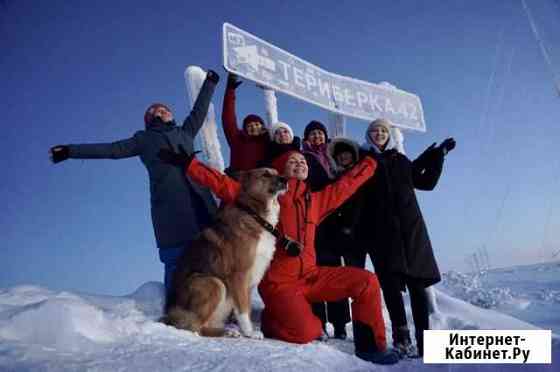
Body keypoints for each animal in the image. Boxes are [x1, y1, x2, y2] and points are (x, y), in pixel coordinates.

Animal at [160, 167, 286, 338]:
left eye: (277, 172)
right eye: (265, 174)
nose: (286, 179)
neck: (255, 215)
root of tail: (171, 313)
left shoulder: (250, 280)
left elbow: (245, 308)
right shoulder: (239, 275)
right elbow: (243, 310)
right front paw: (250, 333)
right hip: (213, 282)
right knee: (196, 327)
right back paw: (227, 332)